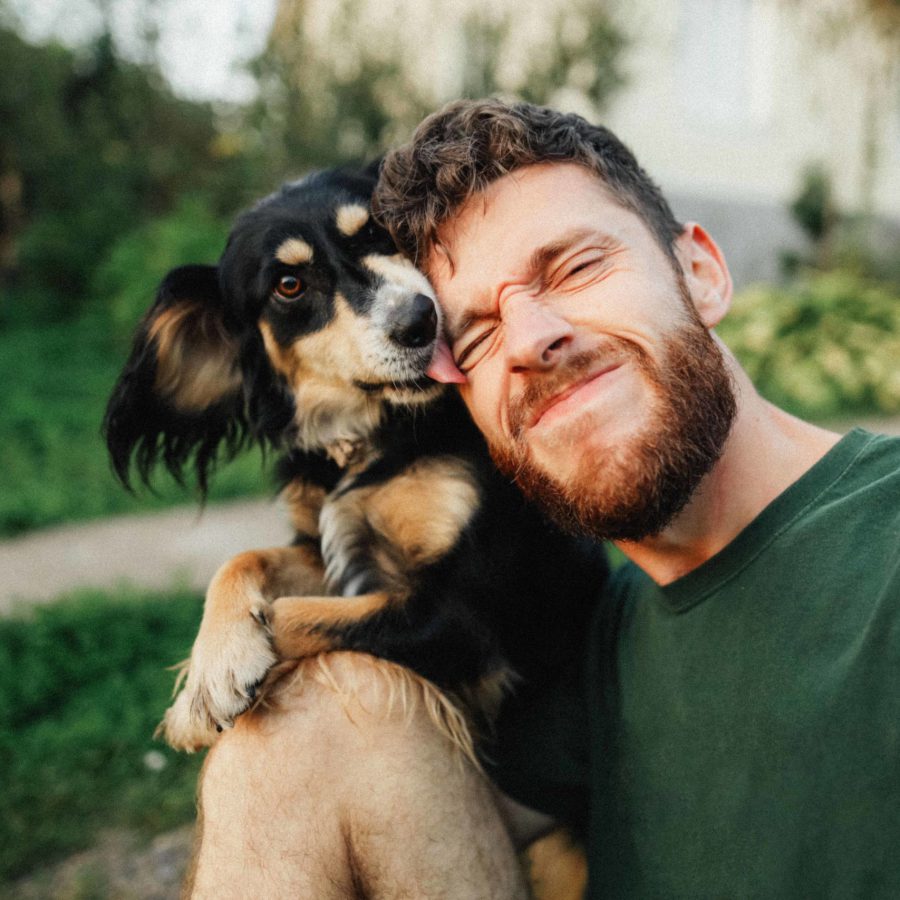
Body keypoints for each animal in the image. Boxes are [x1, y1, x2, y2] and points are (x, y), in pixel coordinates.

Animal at [105, 162, 612, 760]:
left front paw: (196, 695)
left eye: (376, 231)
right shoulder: (322, 546)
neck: (374, 437)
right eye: (289, 285)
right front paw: (219, 664)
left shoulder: (464, 613)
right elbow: (243, 560)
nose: (420, 321)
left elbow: (294, 615)